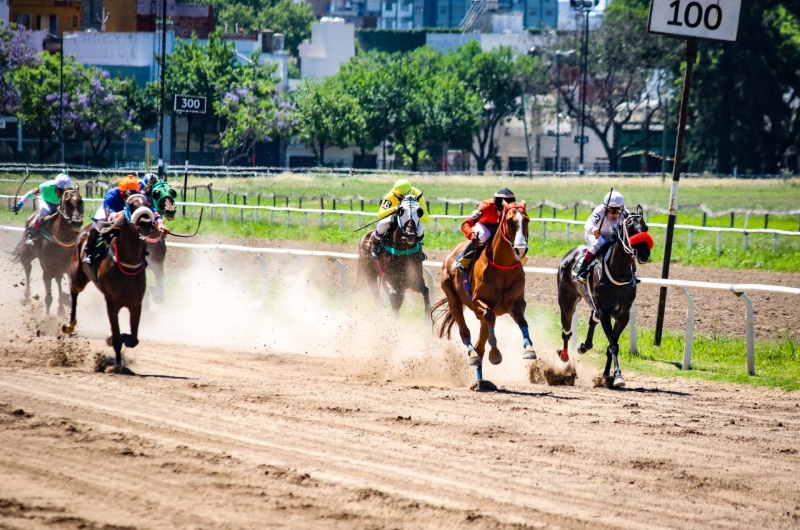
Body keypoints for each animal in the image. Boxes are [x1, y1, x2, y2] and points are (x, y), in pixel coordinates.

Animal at [17, 188, 84, 316]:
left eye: (81, 201)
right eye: (67, 202)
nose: (77, 222)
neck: (62, 241)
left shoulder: (69, 270)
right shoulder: (47, 272)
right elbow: (48, 298)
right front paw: (47, 318)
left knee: (58, 279)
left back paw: (61, 309)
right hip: (26, 254)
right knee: (27, 268)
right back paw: (27, 296)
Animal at [62, 194, 159, 372]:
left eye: (148, 204)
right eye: (131, 205)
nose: (146, 223)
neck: (127, 264)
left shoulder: (136, 303)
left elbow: (133, 339)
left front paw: (114, 336)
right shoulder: (112, 303)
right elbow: (117, 338)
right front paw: (117, 365)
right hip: (78, 275)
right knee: (74, 292)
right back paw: (70, 324)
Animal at [432, 202, 536, 388]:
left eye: (527, 220)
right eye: (509, 221)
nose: (520, 248)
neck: (503, 268)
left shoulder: (516, 304)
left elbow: (523, 323)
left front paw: (529, 350)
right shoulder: (478, 303)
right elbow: (489, 316)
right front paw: (495, 354)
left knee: (480, 344)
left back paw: (480, 380)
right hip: (453, 299)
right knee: (465, 332)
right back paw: (473, 357)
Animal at [556, 204, 656, 386]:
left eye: (645, 227)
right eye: (629, 226)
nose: (644, 253)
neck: (618, 272)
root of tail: (570, 253)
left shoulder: (622, 315)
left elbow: (612, 346)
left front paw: (609, 375)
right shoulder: (605, 311)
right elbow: (613, 345)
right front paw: (617, 376)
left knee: (591, 319)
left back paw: (583, 347)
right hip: (567, 301)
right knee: (566, 330)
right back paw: (565, 356)